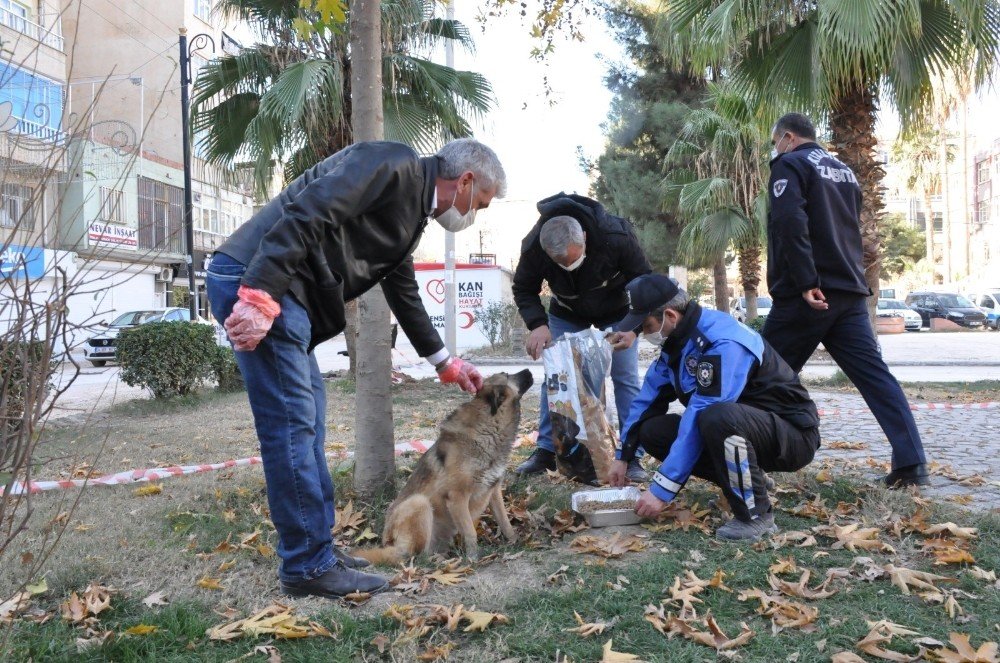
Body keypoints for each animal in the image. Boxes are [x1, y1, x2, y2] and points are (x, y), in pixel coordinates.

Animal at [356, 370, 536, 564]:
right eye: (507, 375)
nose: (529, 370)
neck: (488, 430)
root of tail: (390, 545)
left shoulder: (493, 490)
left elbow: (505, 521)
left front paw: (514, 541)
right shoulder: (457, 497)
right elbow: (470, 532)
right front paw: (473, 558)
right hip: (419, 503)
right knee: (415, 557)